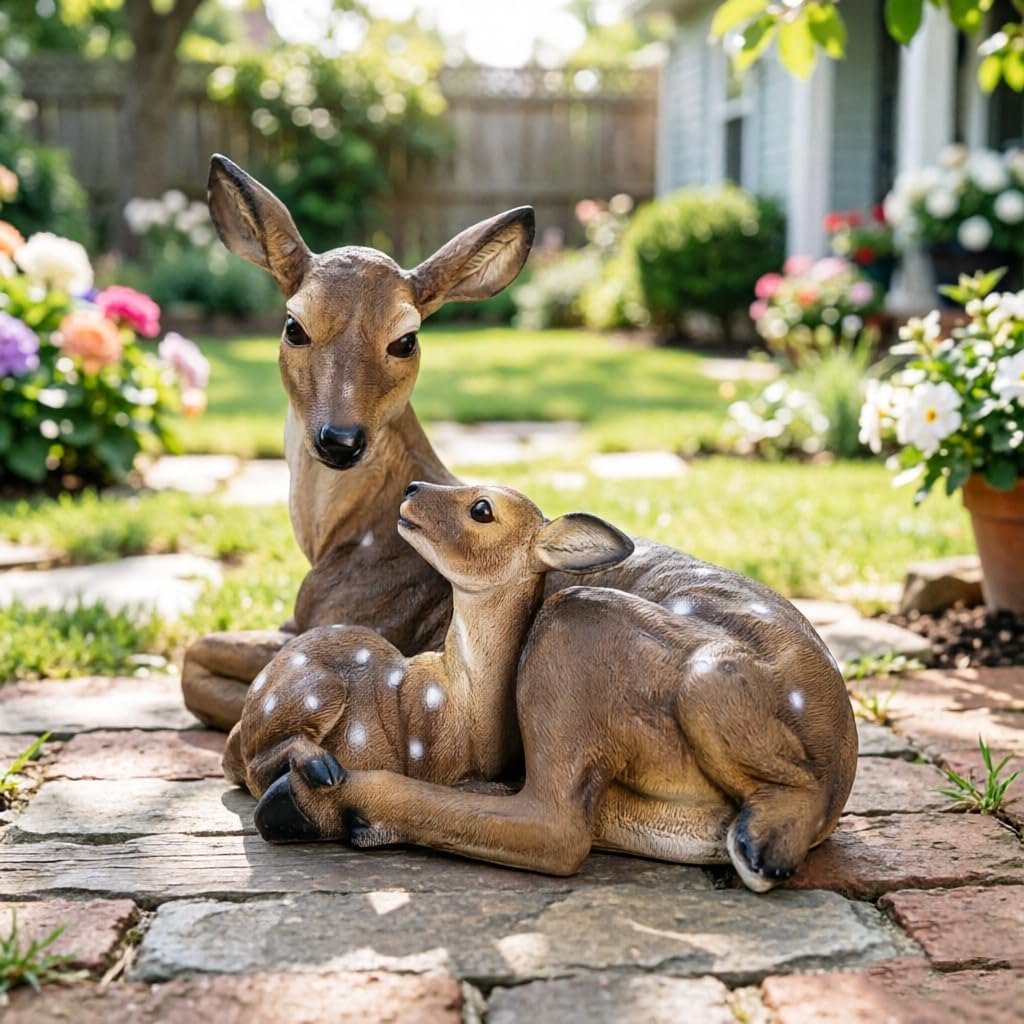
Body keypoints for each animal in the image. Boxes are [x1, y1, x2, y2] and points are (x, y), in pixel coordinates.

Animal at [241, 482, 857, 892]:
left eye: (482, 509)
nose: (412, 489)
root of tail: (831, 787)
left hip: (581, 641)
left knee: (556, 829)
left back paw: (310, 801)